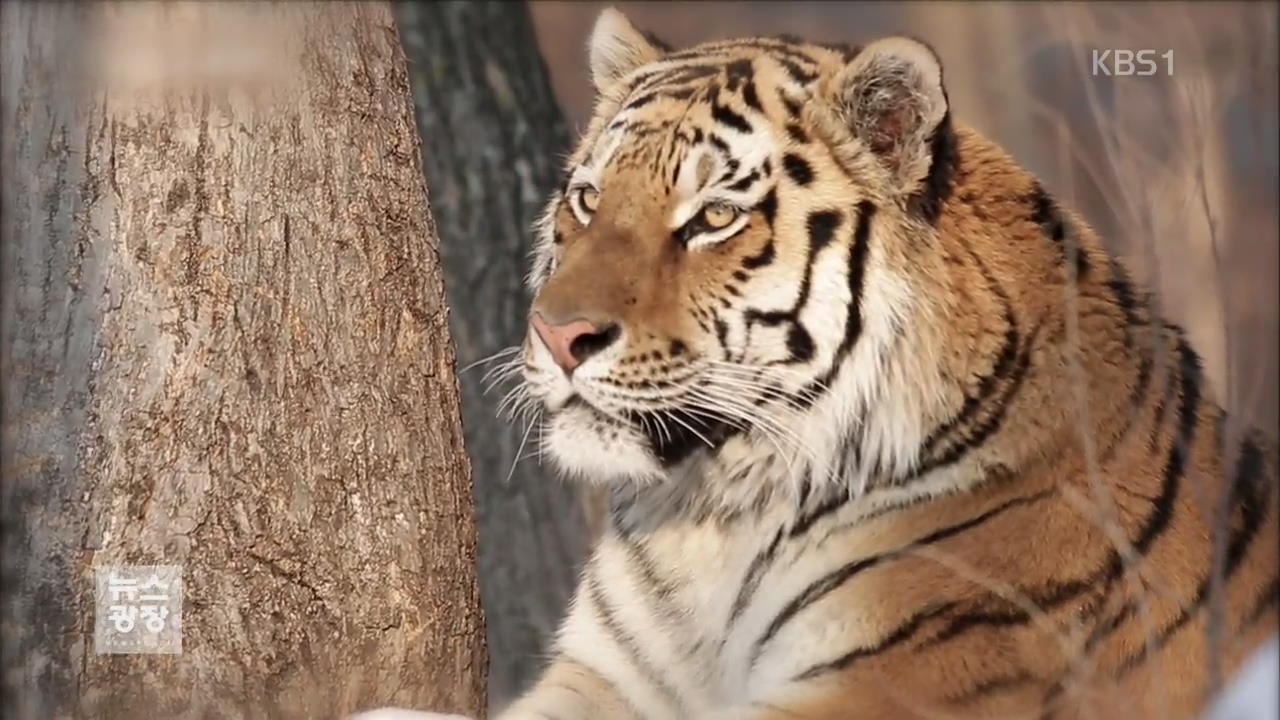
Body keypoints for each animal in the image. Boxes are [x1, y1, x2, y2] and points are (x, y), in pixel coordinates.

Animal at [355, 7, 1274, 717]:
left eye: (714, 216)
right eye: (588, 198)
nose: (557, 335)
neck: (714, 520)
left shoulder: (896, 678)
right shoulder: (605, 673)